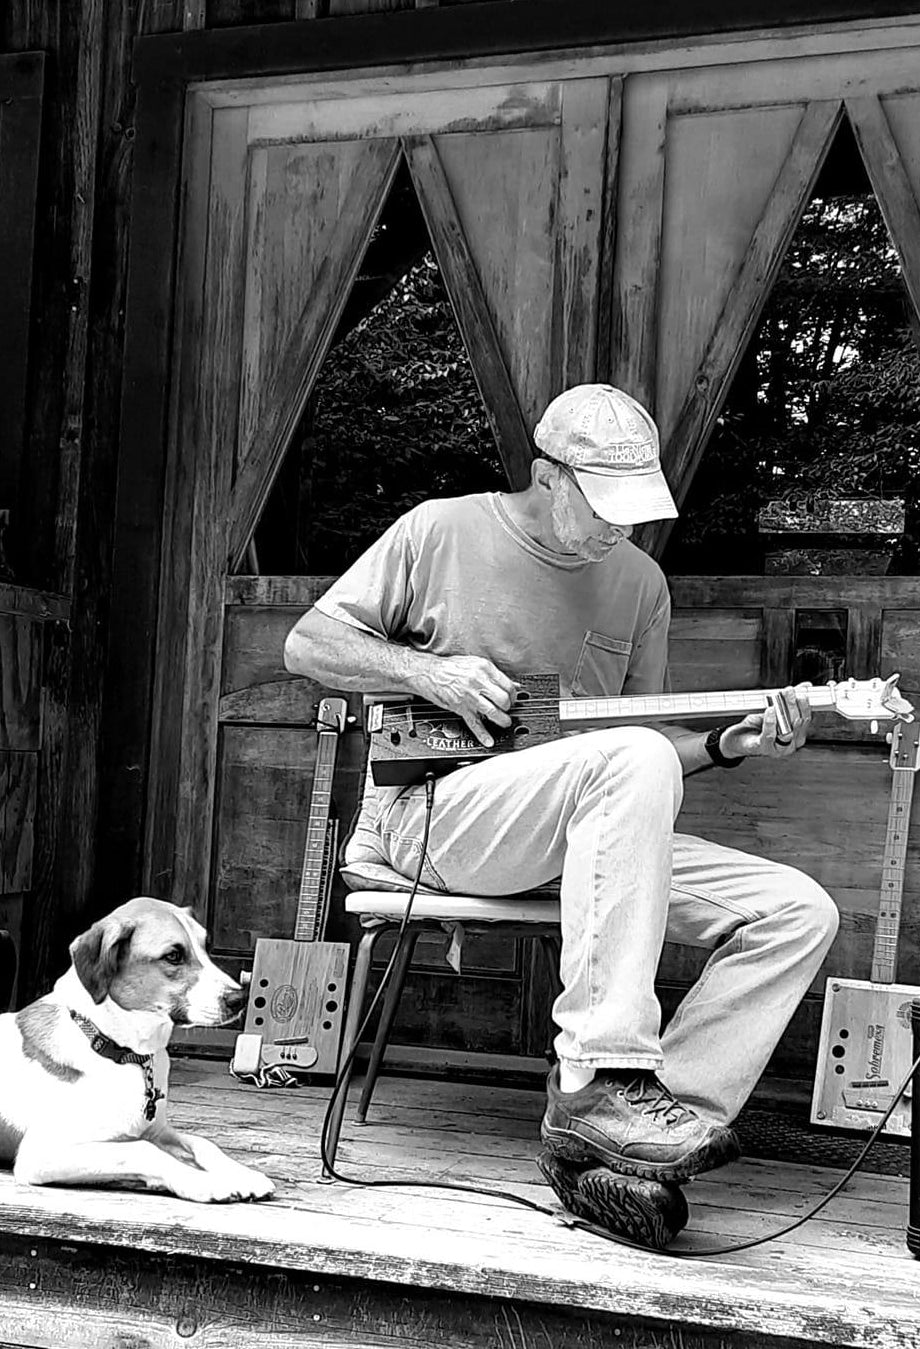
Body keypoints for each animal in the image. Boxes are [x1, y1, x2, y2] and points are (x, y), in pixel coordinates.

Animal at [0, 895, 272, 1203]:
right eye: (173, 955)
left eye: (206, 946)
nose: (240, 998)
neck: (121, 1050)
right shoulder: (43, 1153)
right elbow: (142, 1149)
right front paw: (203, 1181)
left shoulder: (159, 1130)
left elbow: (202, 1142)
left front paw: (242, 1173)